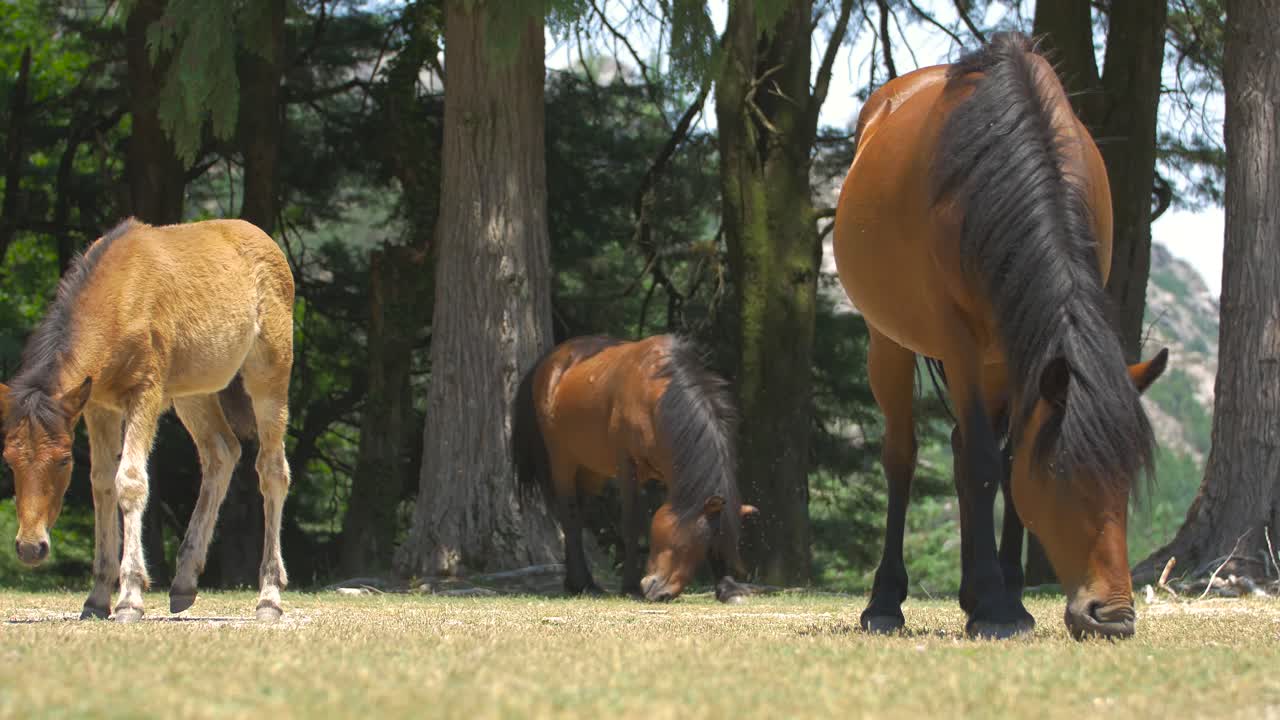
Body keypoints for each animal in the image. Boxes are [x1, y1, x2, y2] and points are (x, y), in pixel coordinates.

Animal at [0, 218, 295, 623]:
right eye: (9, 461)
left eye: (62, 461)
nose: (31, 547)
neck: (117, 298)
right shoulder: (97, 406)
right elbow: (101, 485)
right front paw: (97, 598)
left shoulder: (146, 393)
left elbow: (130, 481)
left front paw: (130, 598)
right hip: (193, 391)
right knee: (221, 453)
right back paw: (184, 582)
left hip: (269, 375)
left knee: (272, 470)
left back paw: (269, 597)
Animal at [512, 334, 756, 602]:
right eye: (685, 544)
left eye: (709, 547)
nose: (661, 593)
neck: (655, 394)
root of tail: (549, 361)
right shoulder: (628, 467)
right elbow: (631, 524)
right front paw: (630, 586)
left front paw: (728, 588)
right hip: (562, 461)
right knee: (570, 515)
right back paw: (581, 583)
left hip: (591, 471)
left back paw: (581, 582)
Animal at [832, 32, 1169, 640]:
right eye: (1062, 474)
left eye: (1129, 478)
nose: (1112, 617)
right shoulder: (958, 340)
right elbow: (989, 464)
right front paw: (996, 608)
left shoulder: (1020, 352)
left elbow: (1006, 465)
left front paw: (1004, 593)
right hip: (889, 344)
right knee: (904, 457)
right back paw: (885, 602)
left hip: (993, 361)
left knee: (965, 448)